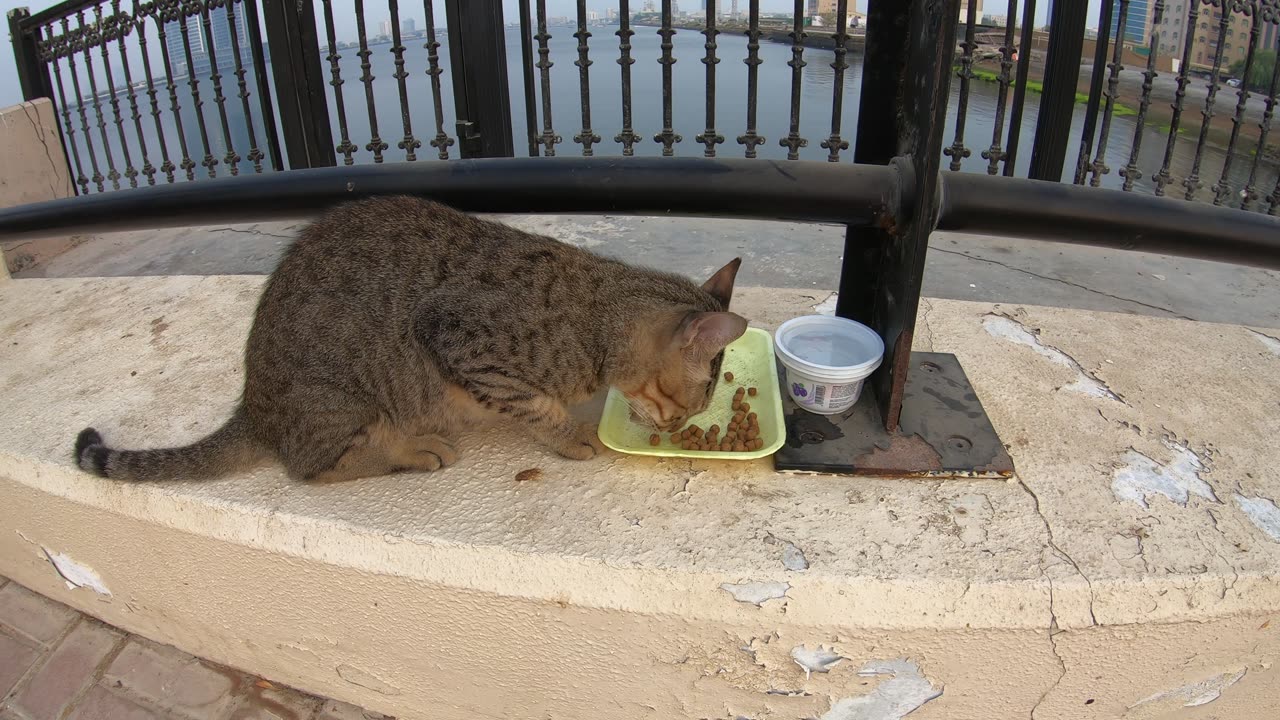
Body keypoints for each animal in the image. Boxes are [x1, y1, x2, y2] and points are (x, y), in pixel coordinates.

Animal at [72, 193, 747, 479]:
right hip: (344, 400)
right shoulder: (460, 337)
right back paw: (411, 451)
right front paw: (570, 436)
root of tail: (253, 404)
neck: (596, 313)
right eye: (692, 403)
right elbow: (534, 404)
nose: (678, 430)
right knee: (311, 467)